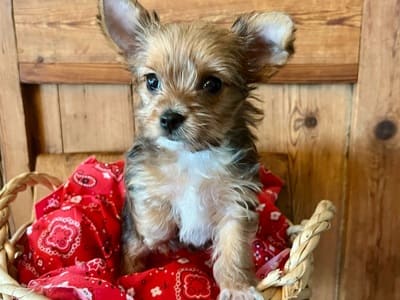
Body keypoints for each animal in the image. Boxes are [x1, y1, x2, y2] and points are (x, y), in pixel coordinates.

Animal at [100, 1, 294, 298]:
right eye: (152, 81)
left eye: (212, 84)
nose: (169, 118)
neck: (192, 154)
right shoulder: (142, 179)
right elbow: (153, 212)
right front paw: (158, 237)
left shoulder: (235, 202)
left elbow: (234, 249)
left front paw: (237, 287)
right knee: (132, 253)